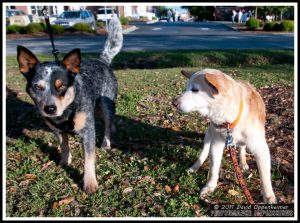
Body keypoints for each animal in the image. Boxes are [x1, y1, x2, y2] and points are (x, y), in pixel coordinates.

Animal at [16, 17, 123, 193]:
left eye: (62, 86)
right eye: (38, 87)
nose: (50, 109)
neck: (66, 112)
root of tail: (101, 60)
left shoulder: (88, 131)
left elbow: (88, 159)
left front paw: (90, 182)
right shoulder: (57, 130)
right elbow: (64, 145)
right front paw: (65, 161)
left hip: (105, 104)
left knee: (108, 122)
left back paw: (106, 142)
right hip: (96, 109)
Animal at [173, 69, 276, 203]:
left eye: (195, 90)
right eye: (187, 88)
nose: (173, 103)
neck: (230, 119)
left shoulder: (260, 149)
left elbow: (265, 177)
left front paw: (268, 196)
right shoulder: (216, 145)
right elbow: (213, 170)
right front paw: (209, 187)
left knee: (242, 147)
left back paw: (243, 162)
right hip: (209, 135)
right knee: (203, 153)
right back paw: (195, 167)